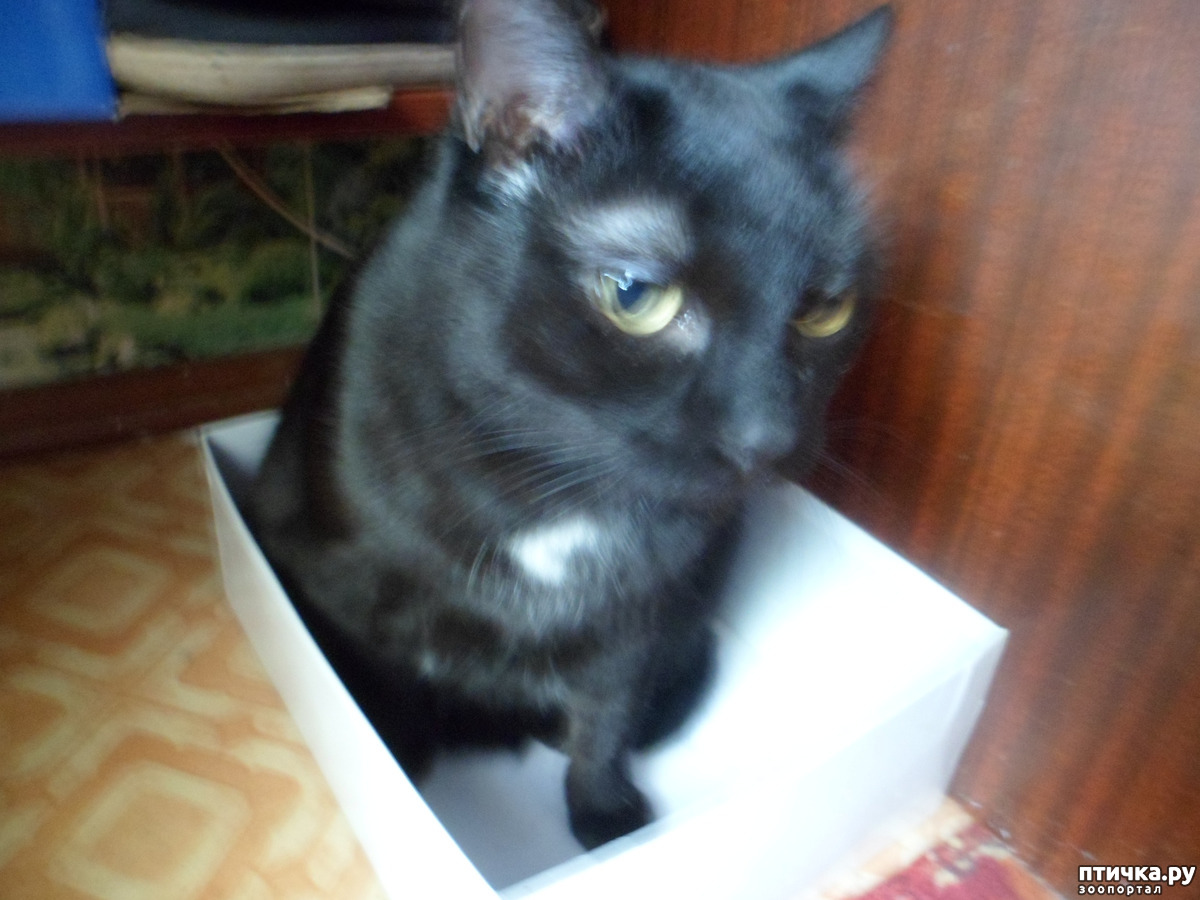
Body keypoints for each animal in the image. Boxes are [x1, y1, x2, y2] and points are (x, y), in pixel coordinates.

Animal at [249, 0, 891, 851]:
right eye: (635, 295)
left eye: (826, 311)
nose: (768, 437)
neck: (564, 485)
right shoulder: (348, 594)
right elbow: (381, 692)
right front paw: (397, 774)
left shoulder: (644, 612)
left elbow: (606, 713)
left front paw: (606, 814)